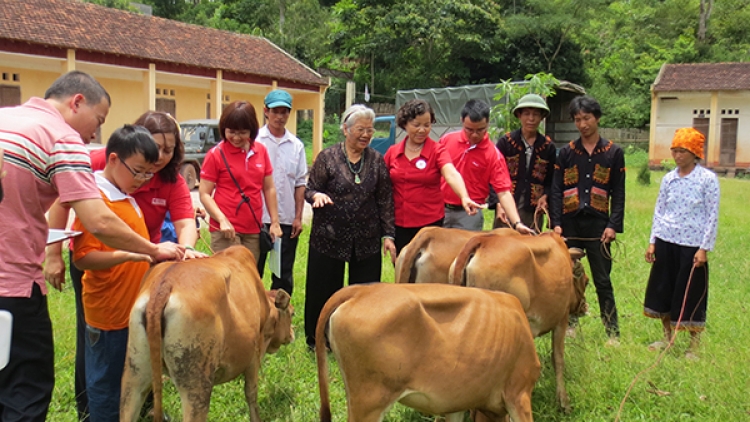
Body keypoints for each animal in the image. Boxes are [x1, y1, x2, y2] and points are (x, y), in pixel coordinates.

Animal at [119, 246, 294, 422]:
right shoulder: (254, 355)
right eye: (292, 313)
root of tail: (165, 285)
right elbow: (251, 393)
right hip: (197, 385)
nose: (292, 334)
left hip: (135, 375)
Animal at [450, 231, 592, 412]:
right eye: (586, 281)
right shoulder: (562, 318)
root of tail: (482, 241)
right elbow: (558, 359)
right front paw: (563, 402)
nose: (584, 306)